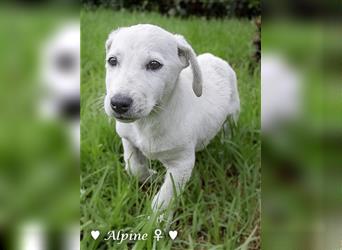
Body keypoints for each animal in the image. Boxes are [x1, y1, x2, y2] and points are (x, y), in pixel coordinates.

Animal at [103, 23, 239, 211]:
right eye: (112, 61)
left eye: (154, 64)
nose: (119, 103)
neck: (149, 121)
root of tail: (216, 58)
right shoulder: (127, 138)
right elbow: (133, 167)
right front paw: (150, 176)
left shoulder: (181, 164)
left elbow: (165, 198)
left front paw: (155, 218)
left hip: (233, 110)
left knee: (229, 128)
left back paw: (226, 144)